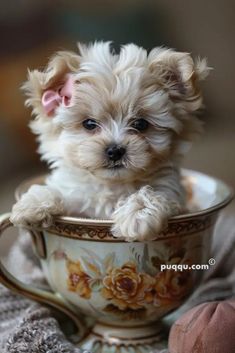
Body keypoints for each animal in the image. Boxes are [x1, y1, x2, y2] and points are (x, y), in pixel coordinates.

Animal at [10, 40, 209, 239]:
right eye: (89, 124)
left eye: (141, 124)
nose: (115, 151)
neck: (112, 185)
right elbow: (61, 192)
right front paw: (33, 204)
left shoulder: (171, 189)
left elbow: (154, 193)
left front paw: (138, 215)